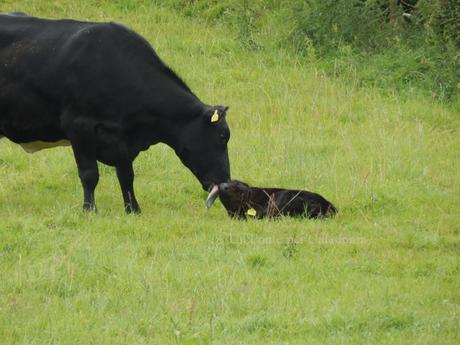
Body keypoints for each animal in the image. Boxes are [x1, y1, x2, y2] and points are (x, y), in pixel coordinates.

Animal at [0, 14, 230, 212]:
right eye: (221, 137)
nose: (226, 182)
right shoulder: (78, 125)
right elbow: (89, 173)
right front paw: (89, 210)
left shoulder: (121, 136)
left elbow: (126, 175)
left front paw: (133, 209)